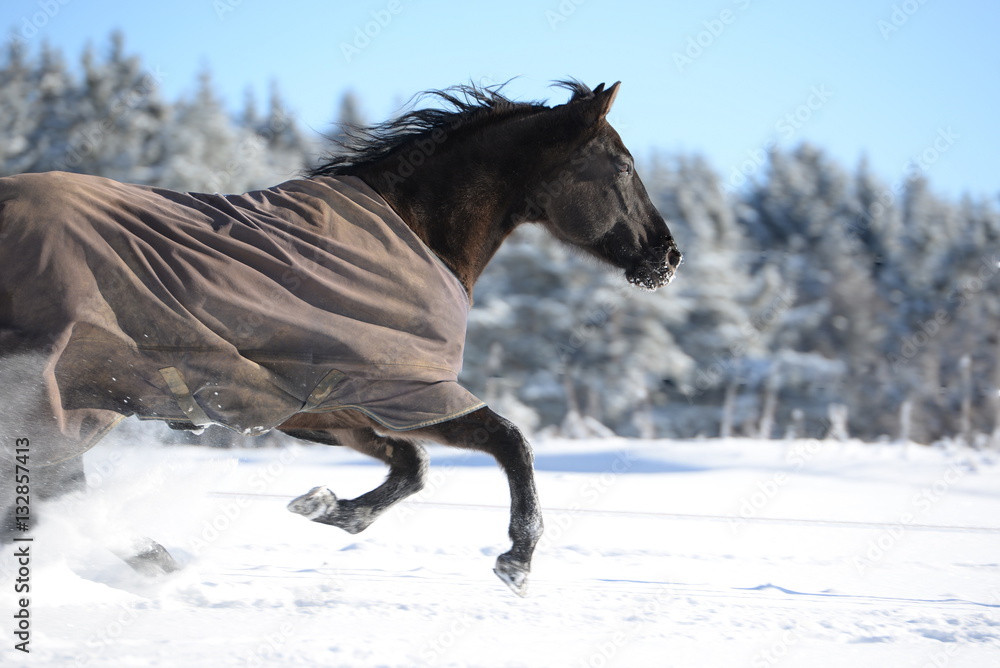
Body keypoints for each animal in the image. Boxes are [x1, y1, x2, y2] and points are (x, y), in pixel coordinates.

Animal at [0, 80, 681, 596]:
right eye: (623, 164)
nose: (668, 257)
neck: (411, 232)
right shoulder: (406, 390)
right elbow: (511, 442)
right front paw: (518, 560)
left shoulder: (321, 404)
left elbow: (412, 463)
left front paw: (328, 506)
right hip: (68, 395)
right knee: (50, 495)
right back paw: (151, 565)